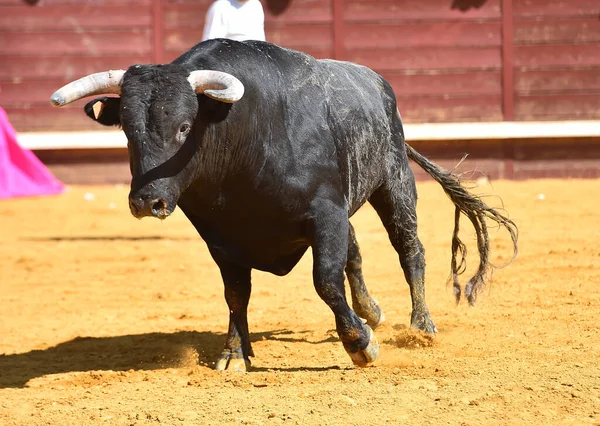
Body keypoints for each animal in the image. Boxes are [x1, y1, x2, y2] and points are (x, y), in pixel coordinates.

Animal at [50, 40, 516, 372]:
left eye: (184, 126)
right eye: (127, 131)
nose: (148, 201)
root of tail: (377, 83)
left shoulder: (325, 214)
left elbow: (325, 281)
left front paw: (360, 345)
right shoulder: (220, 237)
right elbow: (236, 293)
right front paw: (234, 354)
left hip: (394, 181)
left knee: (409, 250)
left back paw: (421, 326)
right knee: (356, 253)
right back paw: (372, 311)